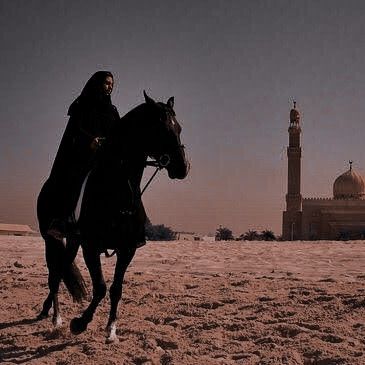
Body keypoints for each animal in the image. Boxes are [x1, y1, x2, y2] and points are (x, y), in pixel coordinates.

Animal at [38, 91, 189, 342]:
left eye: (178, 128)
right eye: (161, 128)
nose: (183, 167)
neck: (117, 192)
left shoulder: (127, 249)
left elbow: (116, 289)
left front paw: (111, 329)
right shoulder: (90, 246)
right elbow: (100, 287)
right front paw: (79, 323)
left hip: (72, 241)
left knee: (62, 269)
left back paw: (47, 311)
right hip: (52, 238)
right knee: (55, 274)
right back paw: (56, 318)